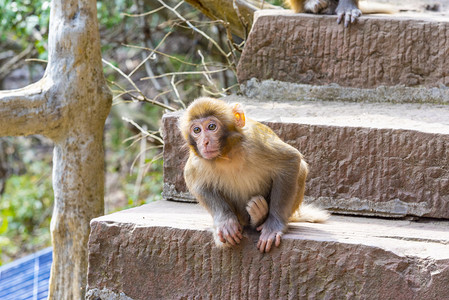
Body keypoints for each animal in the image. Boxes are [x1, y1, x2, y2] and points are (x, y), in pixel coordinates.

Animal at [179, 97, 328, 252]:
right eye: (197, 130)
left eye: (212, 126)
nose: (205, 142)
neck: (226, 154)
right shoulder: (197, 162)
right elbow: (198, 185)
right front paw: (225, 222)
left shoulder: (255, 144)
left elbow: (290, 161)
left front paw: (274, 226)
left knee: (301, 168)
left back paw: (260, 216)